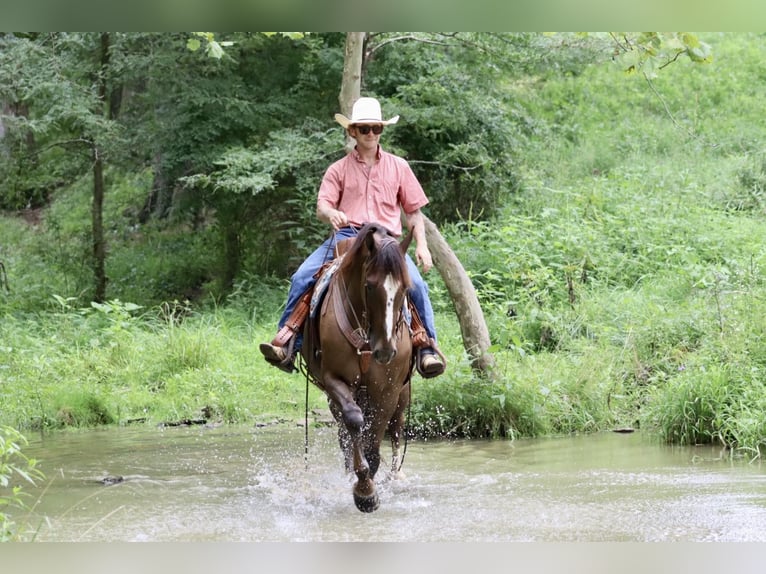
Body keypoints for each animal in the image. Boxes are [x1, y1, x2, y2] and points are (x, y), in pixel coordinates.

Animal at [304, 223, 416, 516]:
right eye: (369, 285)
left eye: (405, 288)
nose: (386, 351)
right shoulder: (334, 380)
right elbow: (354, 421)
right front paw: (364, 489)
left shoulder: (387, 389)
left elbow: (376, 434)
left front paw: (370, 484)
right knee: (345, 429)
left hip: (403, 392)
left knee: (397, 426)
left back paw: (396, 476)